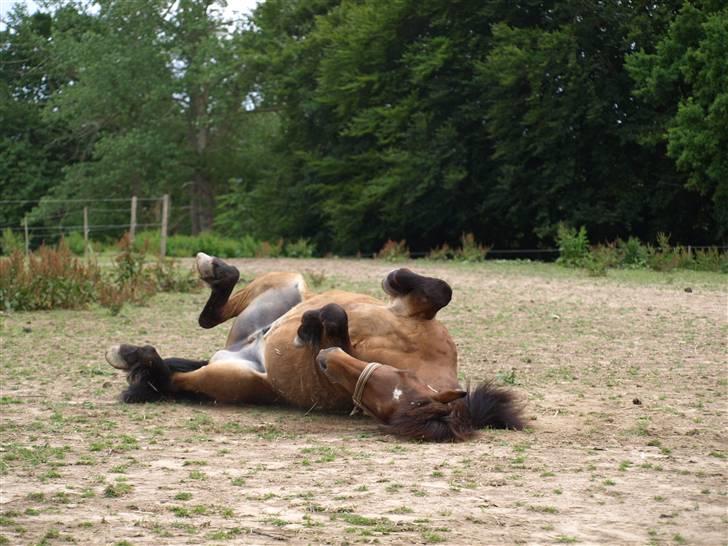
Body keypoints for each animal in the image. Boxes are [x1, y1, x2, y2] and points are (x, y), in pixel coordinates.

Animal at [105, 253, 524, 440]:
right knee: (214, 311)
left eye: (374, 406)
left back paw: (133, 359)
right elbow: (439, 290)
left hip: (227, 378)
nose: (326, 360)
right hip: (285, 283)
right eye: (398, 378)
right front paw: (391, 279)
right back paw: (216, 271)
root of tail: (241, 351)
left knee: (174, 378)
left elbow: (336, 320)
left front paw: (310, 329)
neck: (415, 357)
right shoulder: (417, 316)